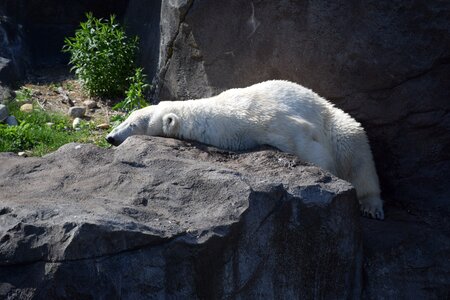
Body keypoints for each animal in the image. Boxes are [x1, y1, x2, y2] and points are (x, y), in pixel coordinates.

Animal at [106, 81, 384, 219]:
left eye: (132, 124)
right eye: (125, 118)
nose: (110, 137)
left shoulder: (269, 121)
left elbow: (309, 146)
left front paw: (327, 176)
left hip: (334, 120)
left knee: (355, 147)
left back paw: (371, 206)